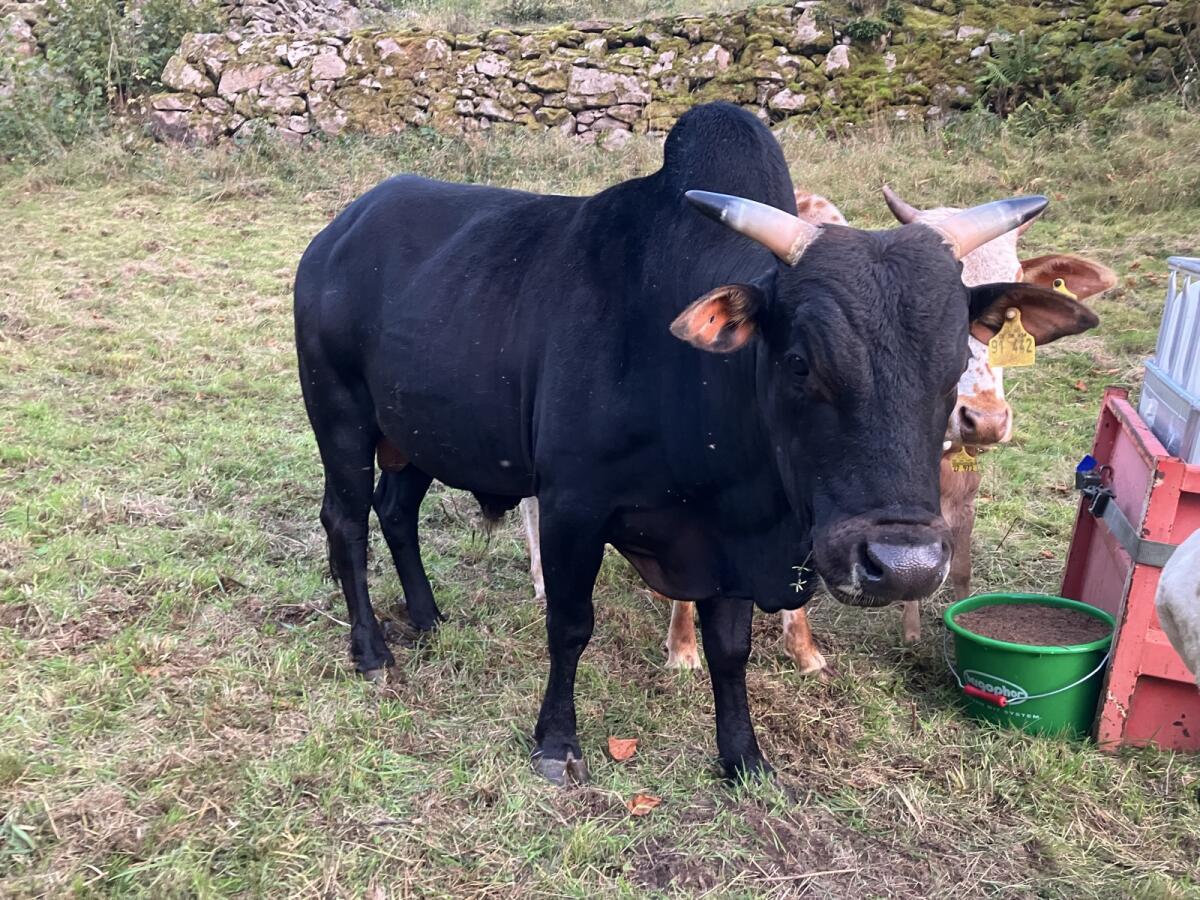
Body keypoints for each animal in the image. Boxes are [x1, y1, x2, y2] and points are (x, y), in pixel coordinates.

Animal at [295, 102, 1074, 784]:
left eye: (952, 362)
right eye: (800, 361)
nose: (905, 565)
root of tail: (339, 229)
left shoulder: (730, 541)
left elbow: (731, 650)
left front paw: (744, 759)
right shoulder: (573, 505)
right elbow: (570, 625)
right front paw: (557, 743)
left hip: (416, 434)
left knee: (397, 511)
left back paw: (428, 619)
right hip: (341, 418)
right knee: (348, 522)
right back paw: (372, 649)